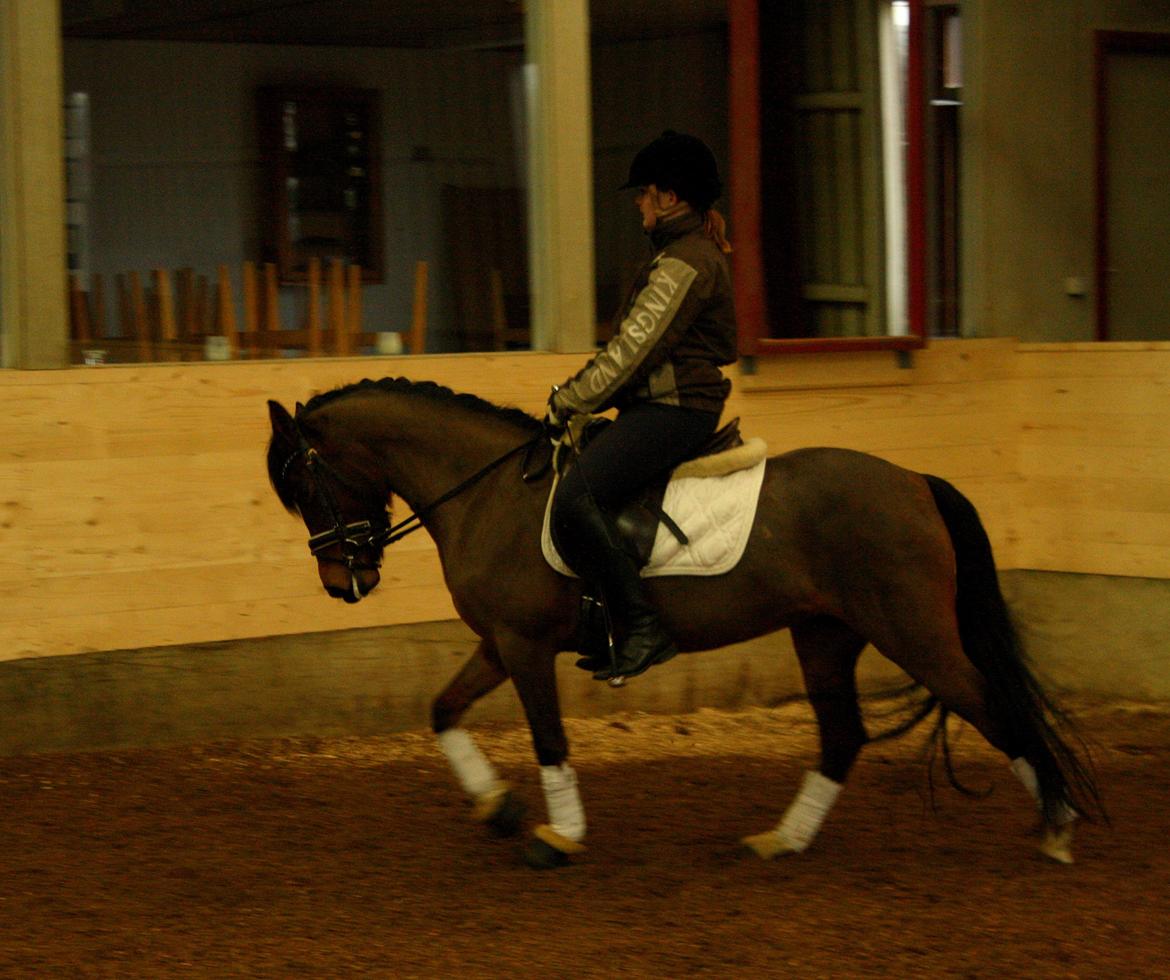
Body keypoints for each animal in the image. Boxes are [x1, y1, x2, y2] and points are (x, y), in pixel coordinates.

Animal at [263, 378, 1095, 870]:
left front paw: (558, 836)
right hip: (826, 631)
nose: (343, 582)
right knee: (844, 735)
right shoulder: (498, 644)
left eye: (304, 483)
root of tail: (916, 482)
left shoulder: (525, 648)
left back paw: (1057, 828)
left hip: (912, 631)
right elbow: (441, 710)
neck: (487, 493)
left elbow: (550, 740)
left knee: (992, 703)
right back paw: (784, 840)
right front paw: (496, 807)